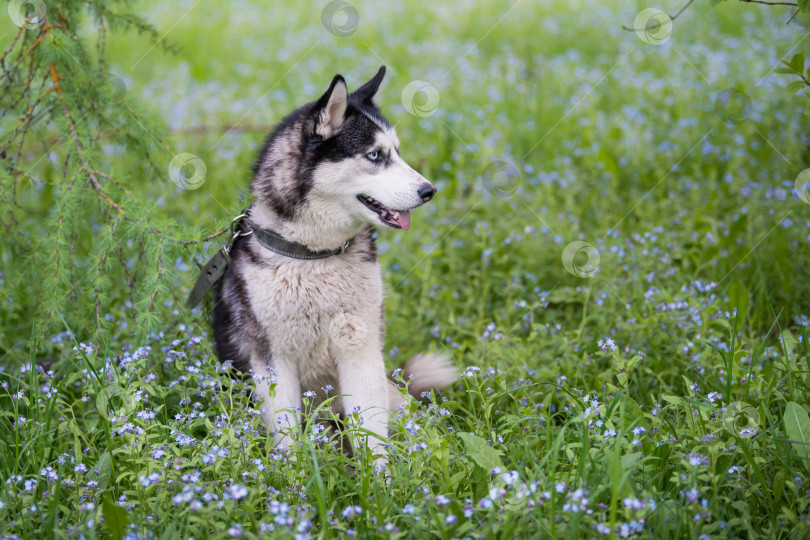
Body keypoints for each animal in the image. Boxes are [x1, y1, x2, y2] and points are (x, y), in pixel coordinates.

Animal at [211, 66, 458, 464]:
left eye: (397, 152)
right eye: (375, 155)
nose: (429, 191)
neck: (316, 256)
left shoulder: (361, 348)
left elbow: (371, 432)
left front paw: (381, 480)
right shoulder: (273, 360)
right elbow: (287, 436)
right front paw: (295, 478)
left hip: (393, 395)